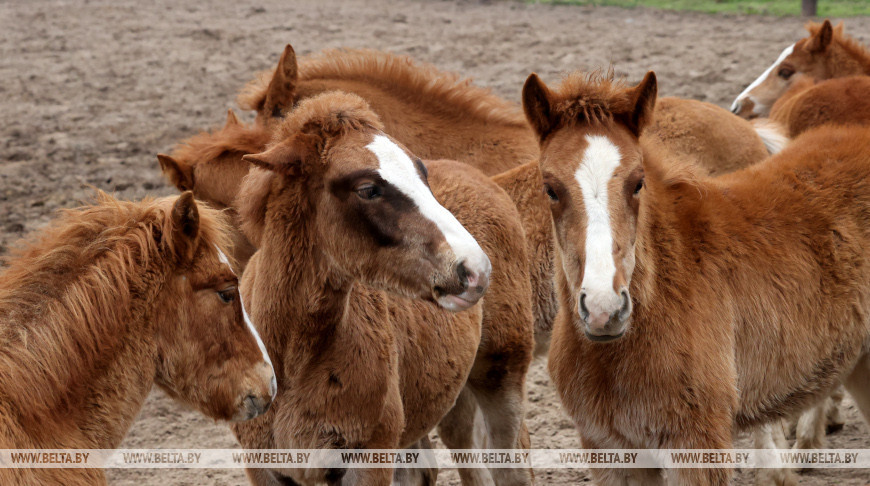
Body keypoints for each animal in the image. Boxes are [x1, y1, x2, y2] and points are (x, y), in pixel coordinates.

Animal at [228, 92, 536, 486]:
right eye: (367, 190)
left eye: (421, 172)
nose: (474, 269)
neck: (294, 362)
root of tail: (478, 176)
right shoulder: (264, 466)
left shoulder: (370, 456)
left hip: (502, 371)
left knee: (510, 464)